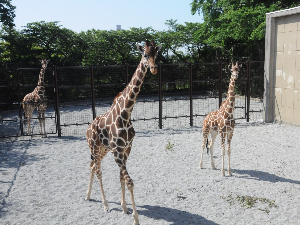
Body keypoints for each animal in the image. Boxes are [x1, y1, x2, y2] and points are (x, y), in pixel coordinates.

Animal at [84, 39, 162, 224]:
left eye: (157, 54)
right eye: (144, 54)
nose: (154, 68)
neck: (126, 113)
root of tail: (87, 129)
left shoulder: (127, 148)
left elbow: (121, 177)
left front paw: (124, 207)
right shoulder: (117, 151)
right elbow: (129, 181)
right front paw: (135, 218)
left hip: (102, 150)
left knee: (92, 166)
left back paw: (88, 196)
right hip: (95, 148)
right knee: (98, 170)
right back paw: (105, 205)